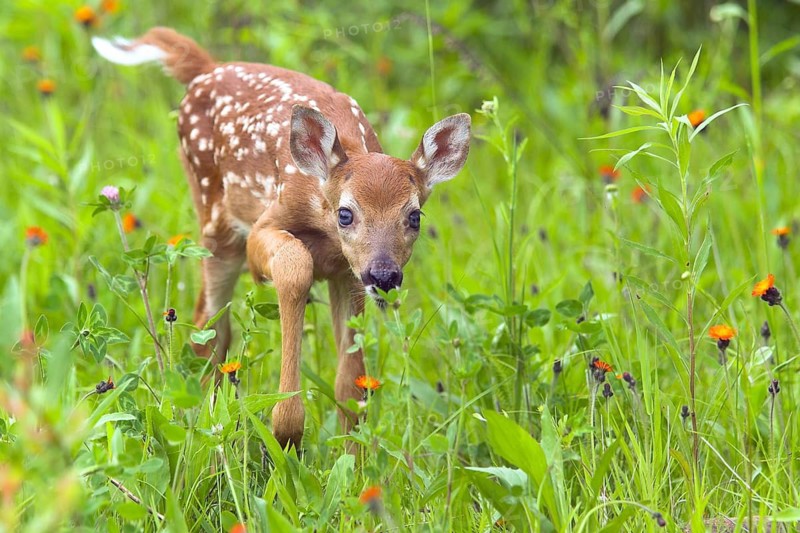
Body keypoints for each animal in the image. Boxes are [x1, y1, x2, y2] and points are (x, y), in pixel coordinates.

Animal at [92, 27, 471, 449]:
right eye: (345, 213)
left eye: (414, 216)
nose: (384, 275)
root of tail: (207, 68)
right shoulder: (265, 227)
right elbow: (295, 266)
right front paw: (286, 429)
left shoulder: (348, 272)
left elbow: (350, 386)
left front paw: (353, 459)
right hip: (216, 221)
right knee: (209, 328)